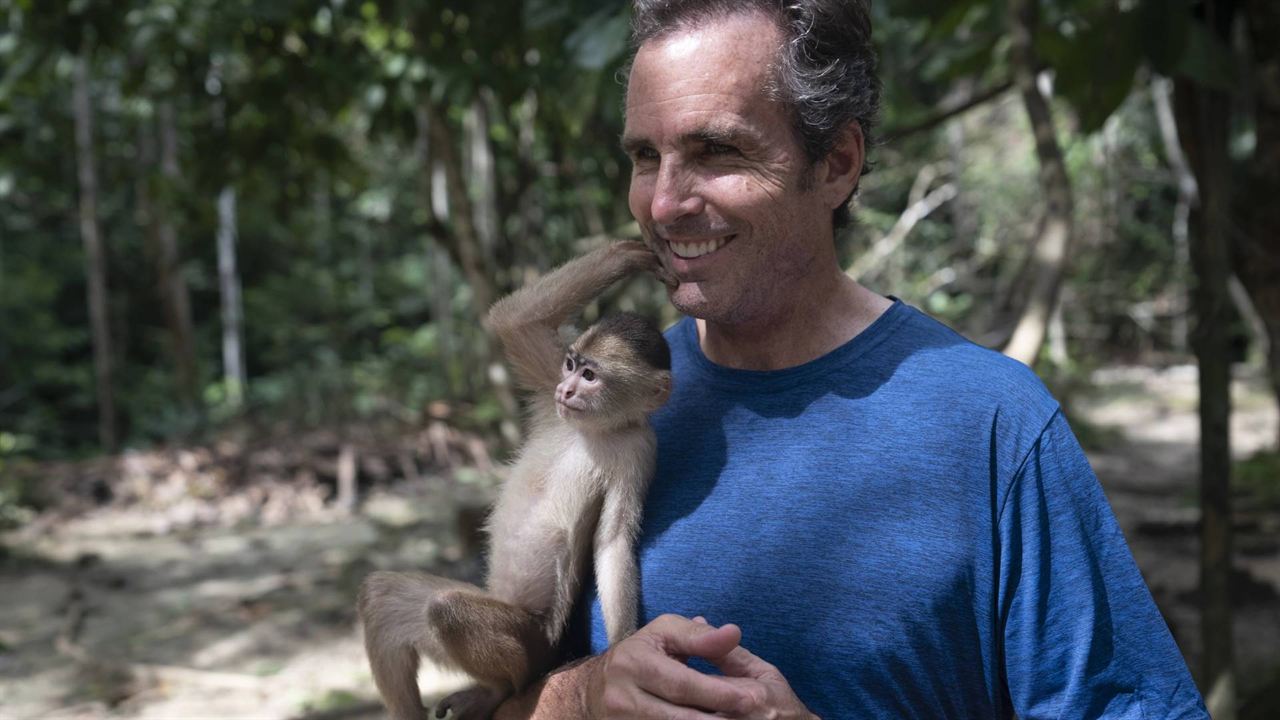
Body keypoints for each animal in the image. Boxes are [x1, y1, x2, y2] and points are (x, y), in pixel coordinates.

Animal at [353, 240, 665, 717]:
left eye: (590, 376)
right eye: (571, 365)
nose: (567, 391)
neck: (593, 429)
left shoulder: (639, 448)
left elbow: (613, 541)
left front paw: (624, 649)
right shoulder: (549, 382)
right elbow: (512, 320)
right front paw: (629, 253)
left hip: (535, 642)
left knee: (446, 611)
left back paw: (499, 690)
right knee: (385, 596)